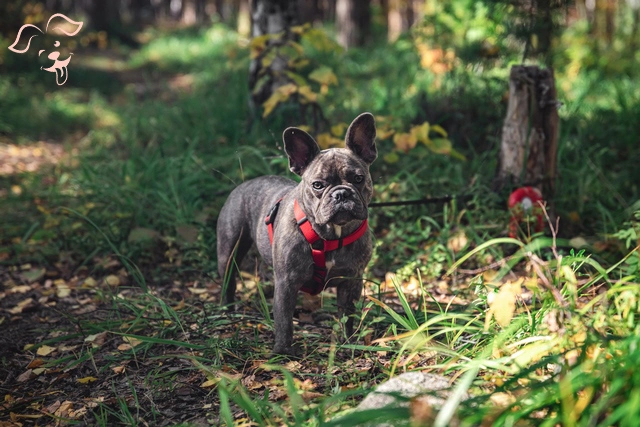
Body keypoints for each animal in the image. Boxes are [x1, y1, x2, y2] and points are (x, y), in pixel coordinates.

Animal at [219, 112, 378, 356]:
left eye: (359, 179)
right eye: (318, 185)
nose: (341, 193)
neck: (329, 235)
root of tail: (245, 184)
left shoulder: (351, 281)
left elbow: (347, 315)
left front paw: (348, 342)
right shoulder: (287, 283)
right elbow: (284, 321)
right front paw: (283, 352)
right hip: (229, 251)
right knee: (228, 280)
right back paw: (226, 311)